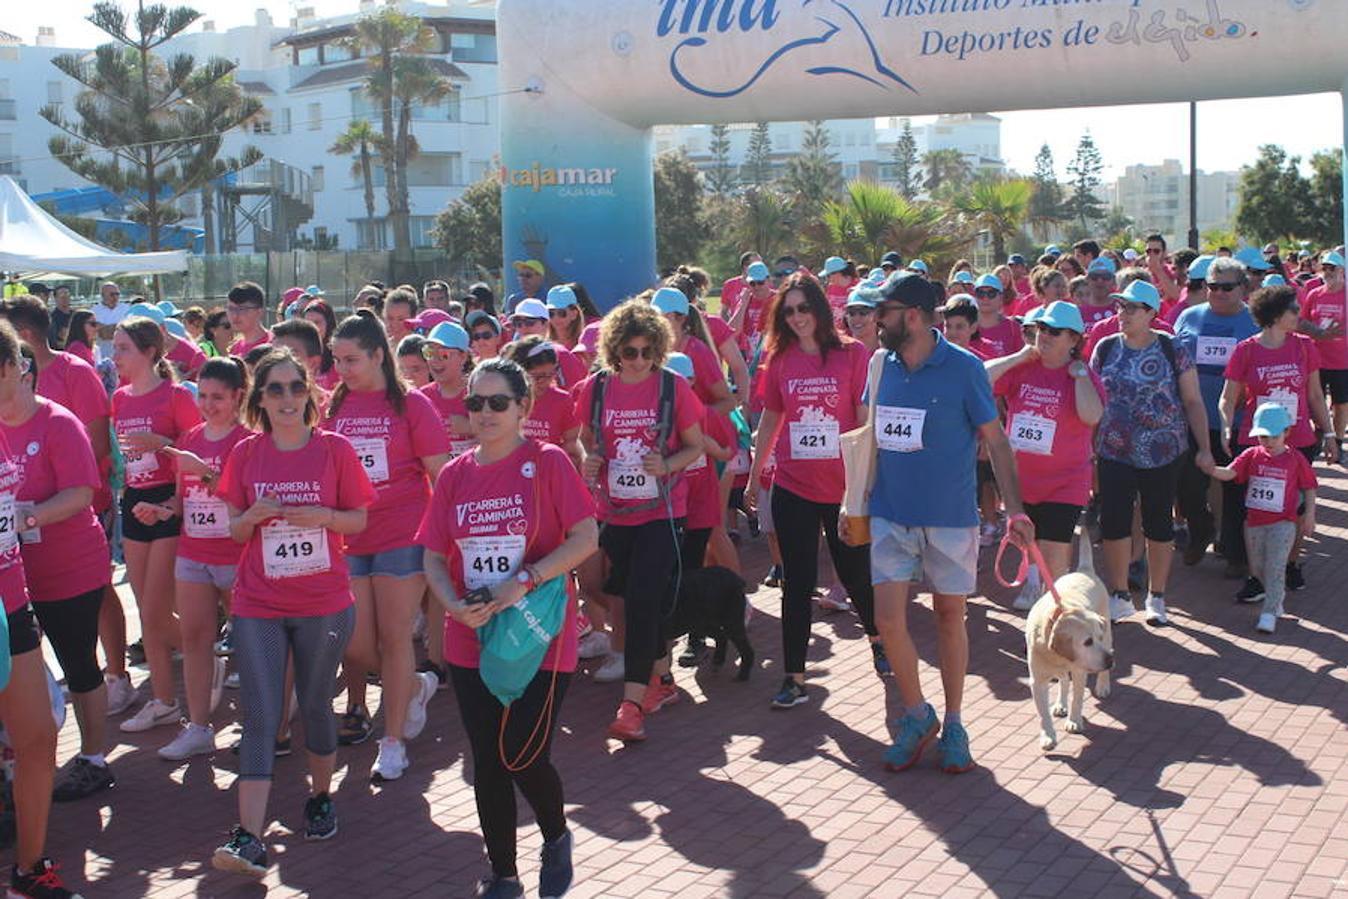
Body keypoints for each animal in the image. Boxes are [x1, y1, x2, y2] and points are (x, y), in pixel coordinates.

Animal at [1024, 533, 1110, 754]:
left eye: (1097, 637)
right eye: (1087, 642)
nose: (1110, 660)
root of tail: (1084, 570)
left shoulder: (1080, 670)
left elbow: (1077, 698)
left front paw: (1074, 721)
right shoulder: (1037, 681)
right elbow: (1043, 714)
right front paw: (1048, 736)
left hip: (1109, 632)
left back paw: (1103, 685)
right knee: (1063, 679)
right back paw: (1060, 704)